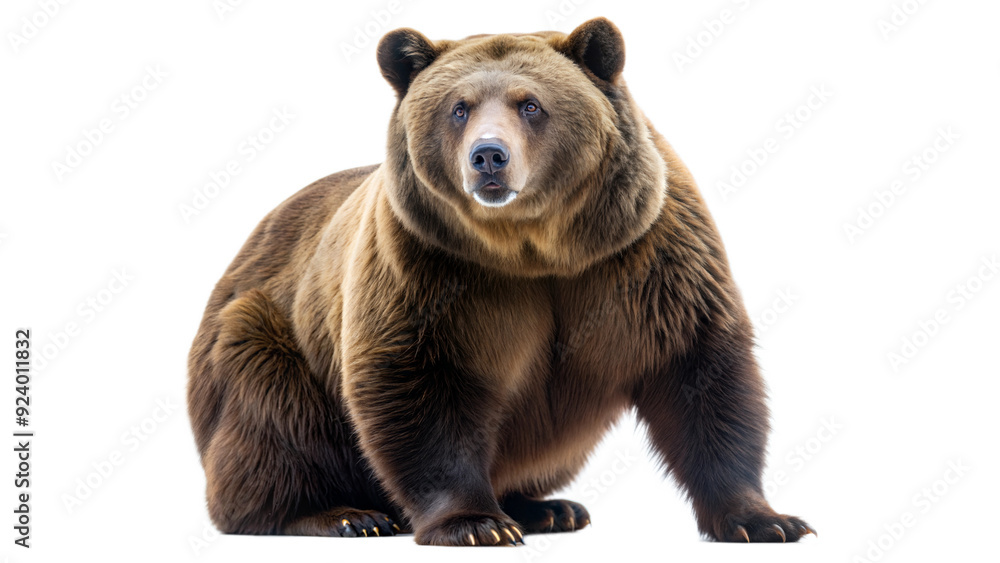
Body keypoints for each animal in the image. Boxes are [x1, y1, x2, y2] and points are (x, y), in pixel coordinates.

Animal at [187, 18, 814, 546]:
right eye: (458, 108)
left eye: (530, 104)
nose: (489, 157)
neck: (532, 249)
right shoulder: (428, 265)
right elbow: (417, 382)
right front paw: (474, 523)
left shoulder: (645, 255)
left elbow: (700, 369)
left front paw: (766, 519)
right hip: (263, 331)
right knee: (268, 407)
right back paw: (341, 514)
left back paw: (549, 507)